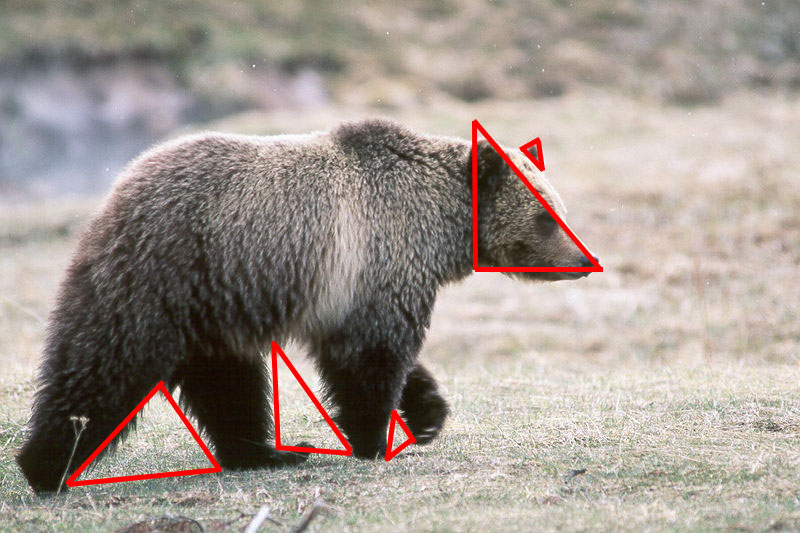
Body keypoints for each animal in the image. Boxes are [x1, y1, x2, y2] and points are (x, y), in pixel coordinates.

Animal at [17, 118, 597, 493]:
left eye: (561, 208)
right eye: (547, 215)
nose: (582, 259)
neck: (440, 223)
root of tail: (115, 194)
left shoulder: (363, 289)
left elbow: (377, 351)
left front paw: (428, 410)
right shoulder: (378, 257)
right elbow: (371, 358)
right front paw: (374, 439)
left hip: (214, 306)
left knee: (229, 383)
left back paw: (265, 453)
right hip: (163, 277)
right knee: (103, 366)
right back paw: (45, 466)